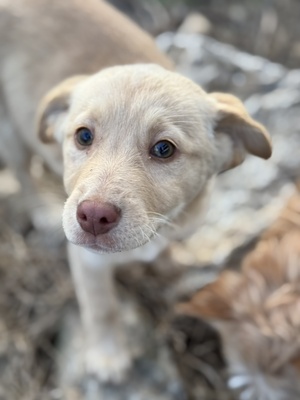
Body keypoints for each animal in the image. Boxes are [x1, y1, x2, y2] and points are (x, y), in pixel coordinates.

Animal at [0, 0, 272, 382]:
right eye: (83, 136)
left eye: (164, 149)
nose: (93, 216)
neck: (157, 227)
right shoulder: (88, 260)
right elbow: (102, 307)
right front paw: (108, 356)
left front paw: (168, 264)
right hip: (9, 132)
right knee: (23, 174)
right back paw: (40, 210)